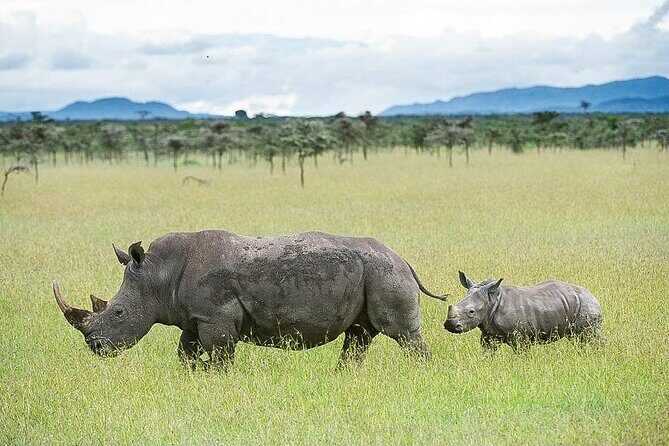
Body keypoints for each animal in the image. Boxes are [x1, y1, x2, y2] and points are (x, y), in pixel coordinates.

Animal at [53, 230, 447, 369]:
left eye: (118, 312)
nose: (95, 348)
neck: (158, 275)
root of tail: (404, 259)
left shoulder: (216, 318)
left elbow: (221, 357)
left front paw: (216, 377)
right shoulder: (195, 317)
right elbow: (185, 353)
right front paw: (192, 374)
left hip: (385, 273)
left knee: (402, 334)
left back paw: (423, 373)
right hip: (373, 274)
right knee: (359, 335)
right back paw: (344, 377)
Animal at [443, 271, 602, 352]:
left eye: (471, 312)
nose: (449, 325)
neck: (492, 299)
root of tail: (592, 295)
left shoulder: (520, 336)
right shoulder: (488, 334)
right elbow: (488, 350)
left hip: (586, 305)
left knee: (588, 336)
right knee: (576, 337)